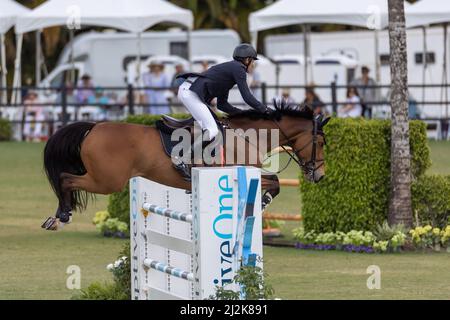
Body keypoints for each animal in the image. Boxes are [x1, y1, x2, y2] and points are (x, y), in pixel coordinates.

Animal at [42, 103, 328, 230]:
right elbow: (274, 184)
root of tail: (94, 128)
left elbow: (275, 182)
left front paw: (262, 201)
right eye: (320, 142)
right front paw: (264, 201)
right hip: (107, 181)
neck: (248, 135)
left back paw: (57, 216)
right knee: (66, 178)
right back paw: (62, 215)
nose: (320, 175)